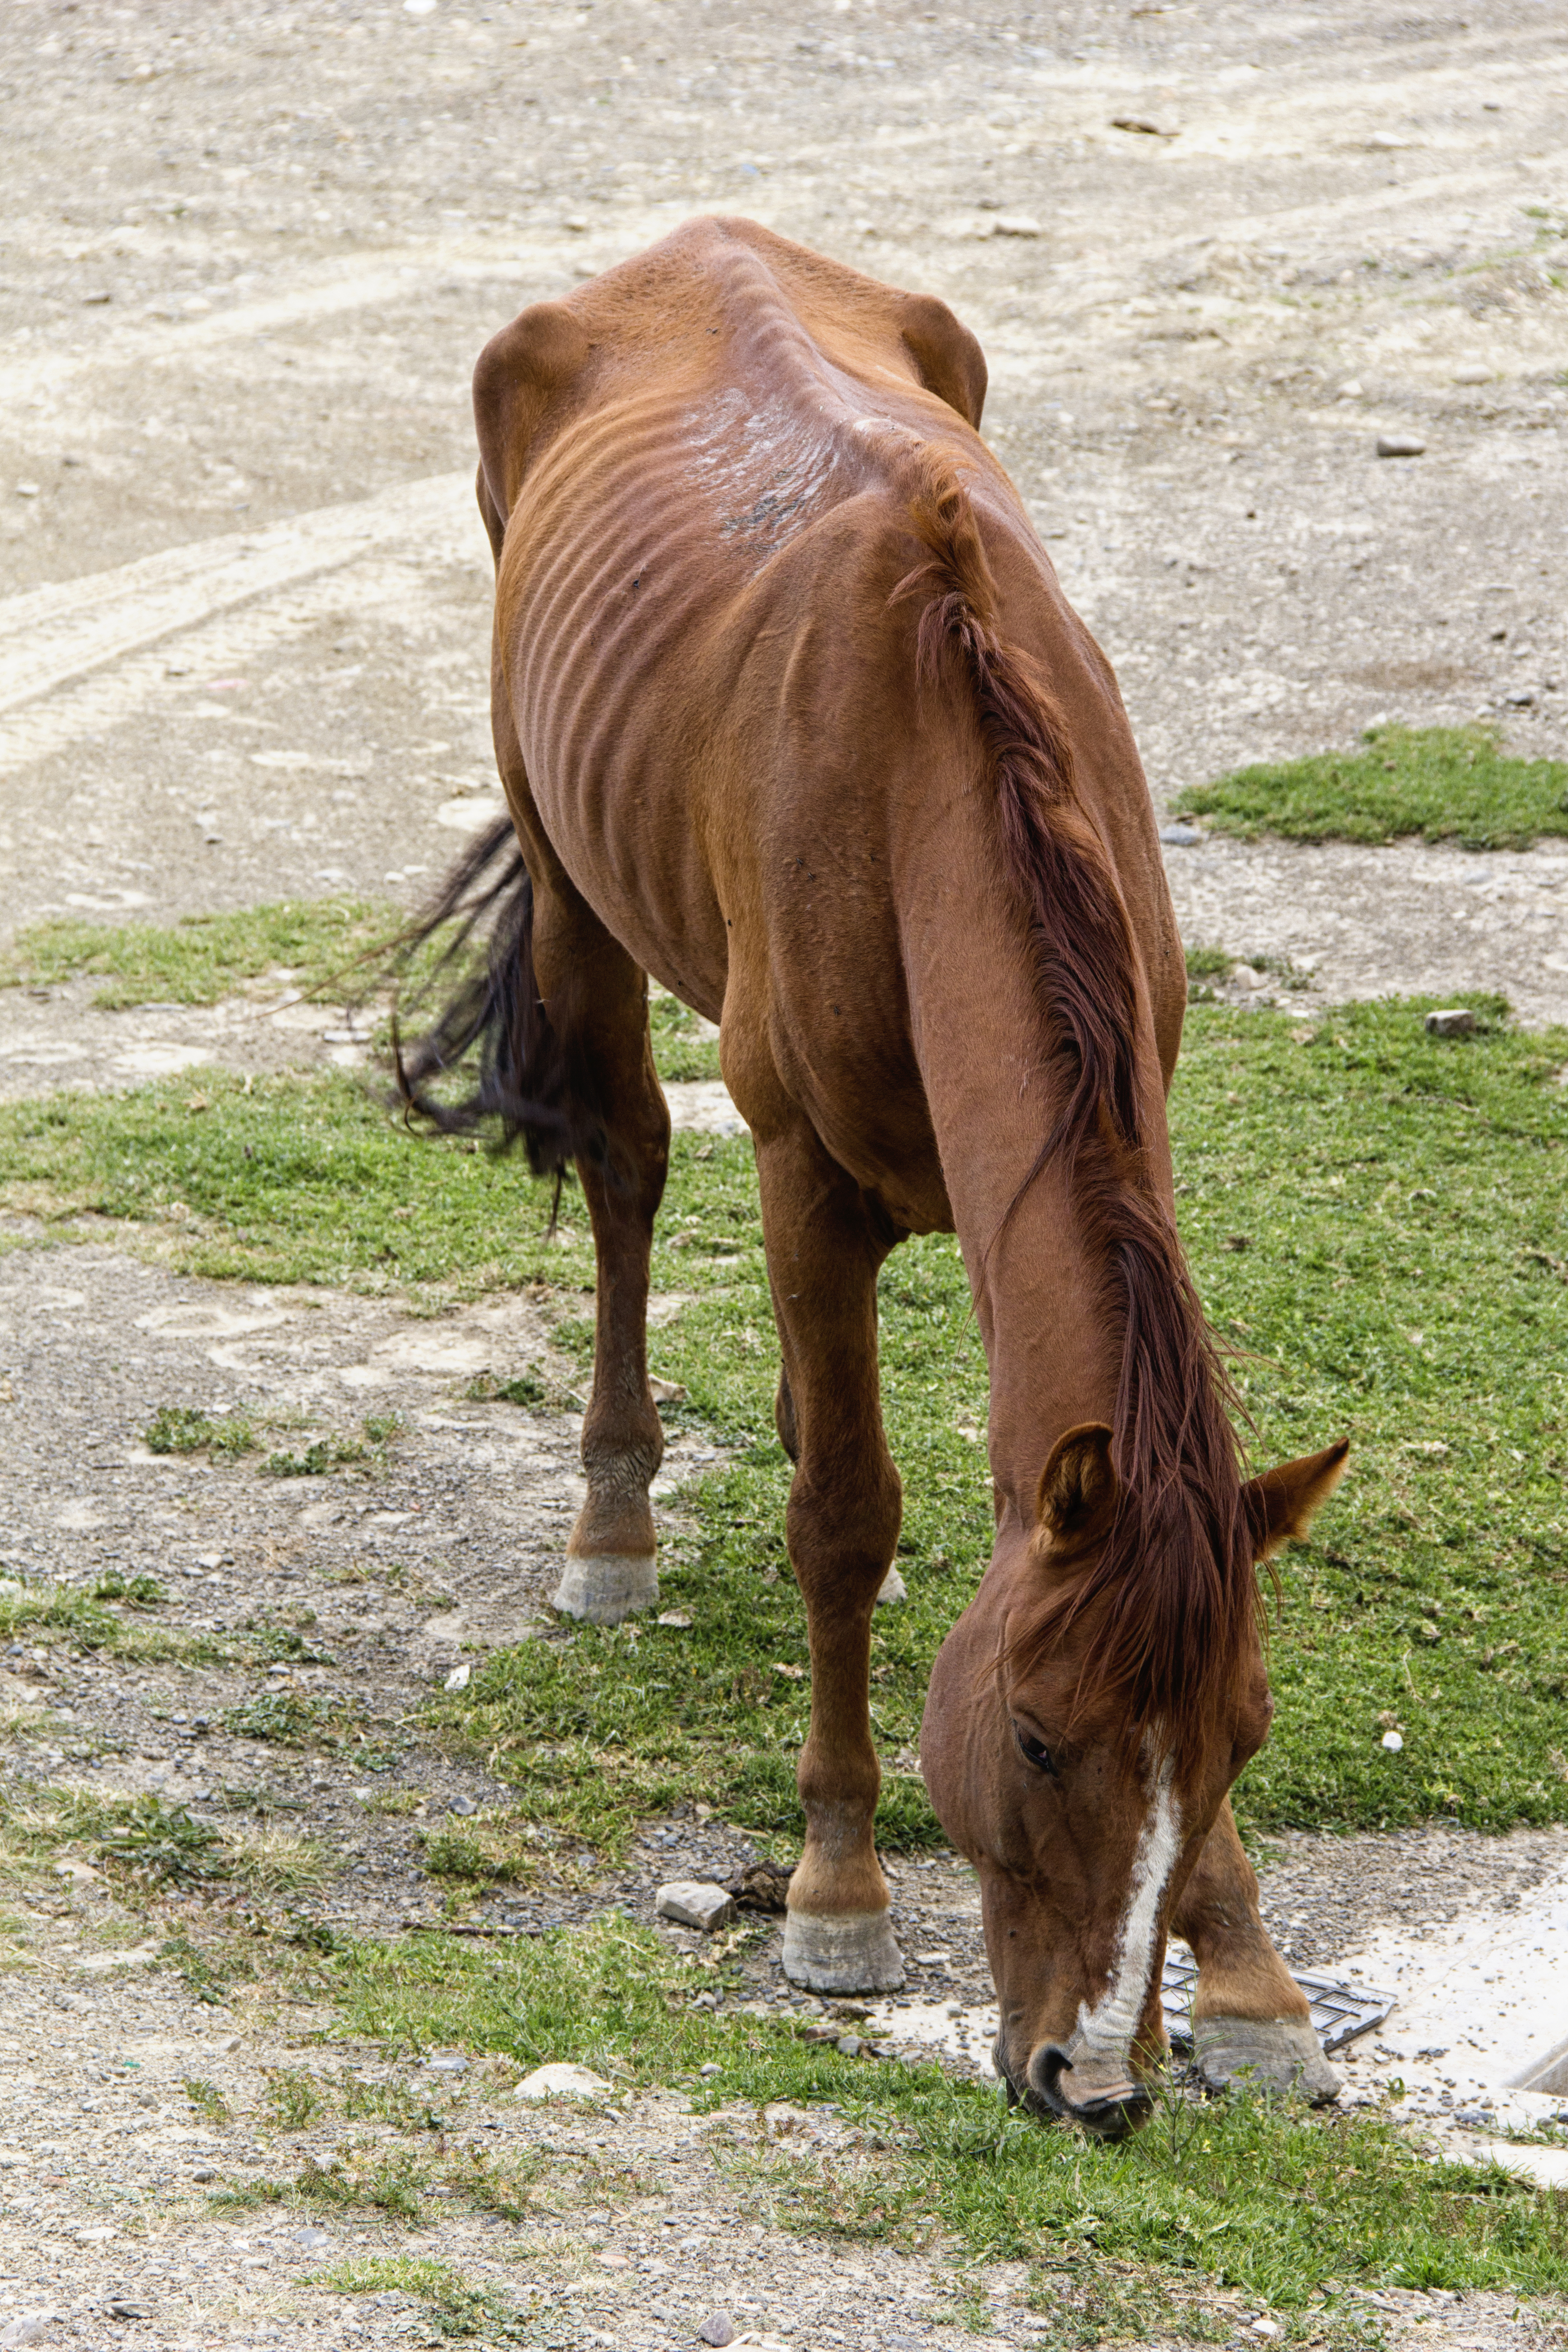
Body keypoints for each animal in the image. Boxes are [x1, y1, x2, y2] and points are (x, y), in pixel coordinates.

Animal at [402, 216, 1354, 2136]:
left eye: (1241, 1741)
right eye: (1039, 1737)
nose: (1093, 2080)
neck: (937, 745)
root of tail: (688, 251)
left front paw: (1245, 1971)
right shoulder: (804, 1175)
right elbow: (842, 1515)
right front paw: (835, 1886)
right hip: (569, 873)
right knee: (625, 1165)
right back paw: (613, 1517)